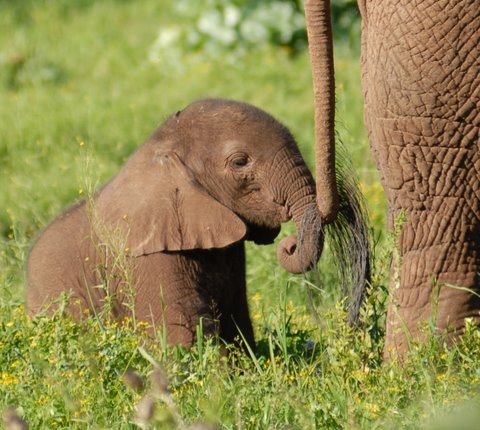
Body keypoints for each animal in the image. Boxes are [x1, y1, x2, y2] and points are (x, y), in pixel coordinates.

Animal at [28, 100, 336, 350]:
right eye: (240, 162)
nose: (290, 244)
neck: (160, 150)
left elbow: (235, 321)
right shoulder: (149, 258)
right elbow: (182, 336)